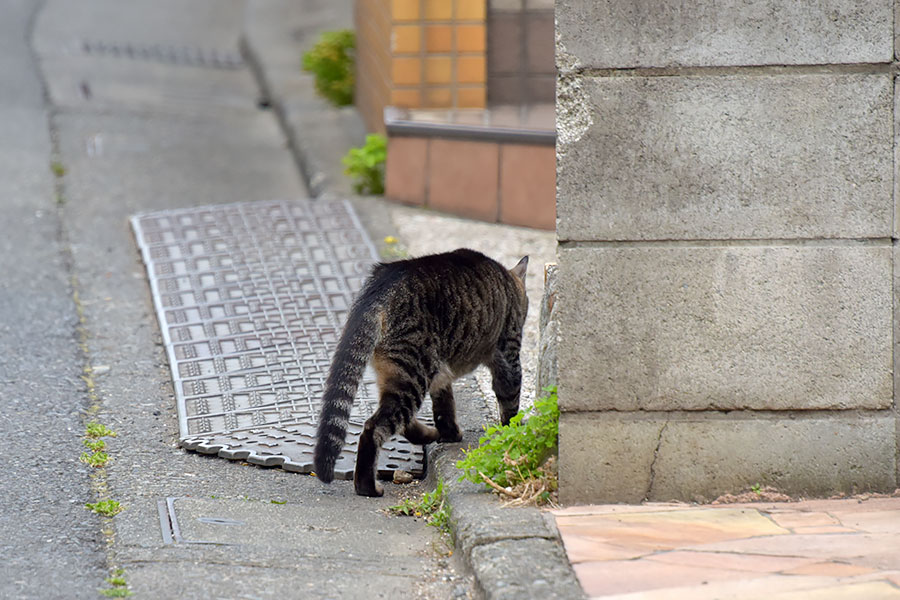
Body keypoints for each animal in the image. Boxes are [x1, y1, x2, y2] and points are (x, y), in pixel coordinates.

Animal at [314, 248, 528, 496]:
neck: (509, 284)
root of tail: (379, 288)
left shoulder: (441, 378)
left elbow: (444, 407)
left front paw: (450, 433)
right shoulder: (509, 356)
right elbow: (510, 404)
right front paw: (512, 435)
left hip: (401, 374)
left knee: (401, 422)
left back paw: (430, 434)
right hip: (413, 377)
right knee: (373, 428)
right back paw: (367, 487)